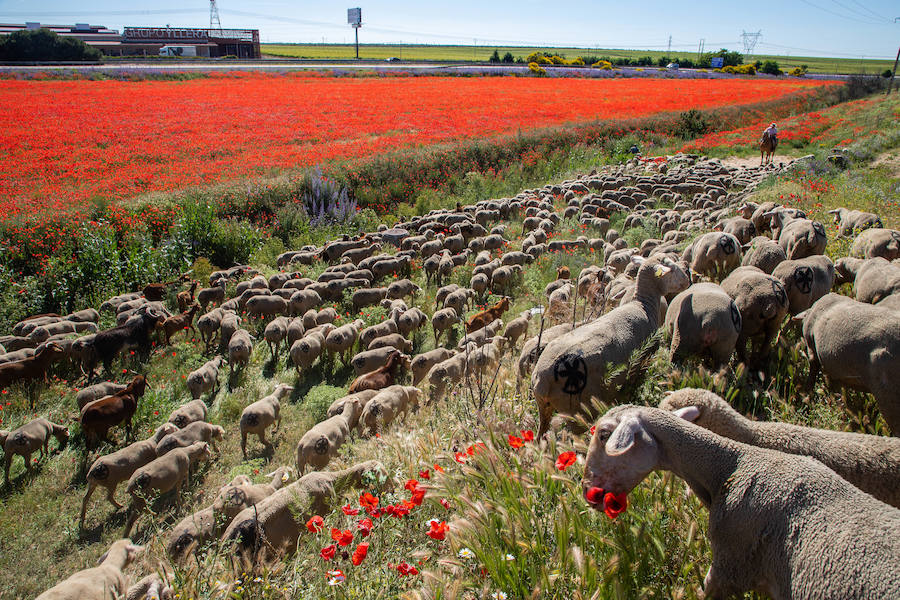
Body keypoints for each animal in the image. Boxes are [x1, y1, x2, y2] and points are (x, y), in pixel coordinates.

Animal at [532, 255, 684, 438]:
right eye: (671, 267)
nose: (687, 279)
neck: (642, 305)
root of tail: (541, 379)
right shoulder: (641, 368)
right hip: (576, 412)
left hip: (545, 407)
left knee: (540, 436)